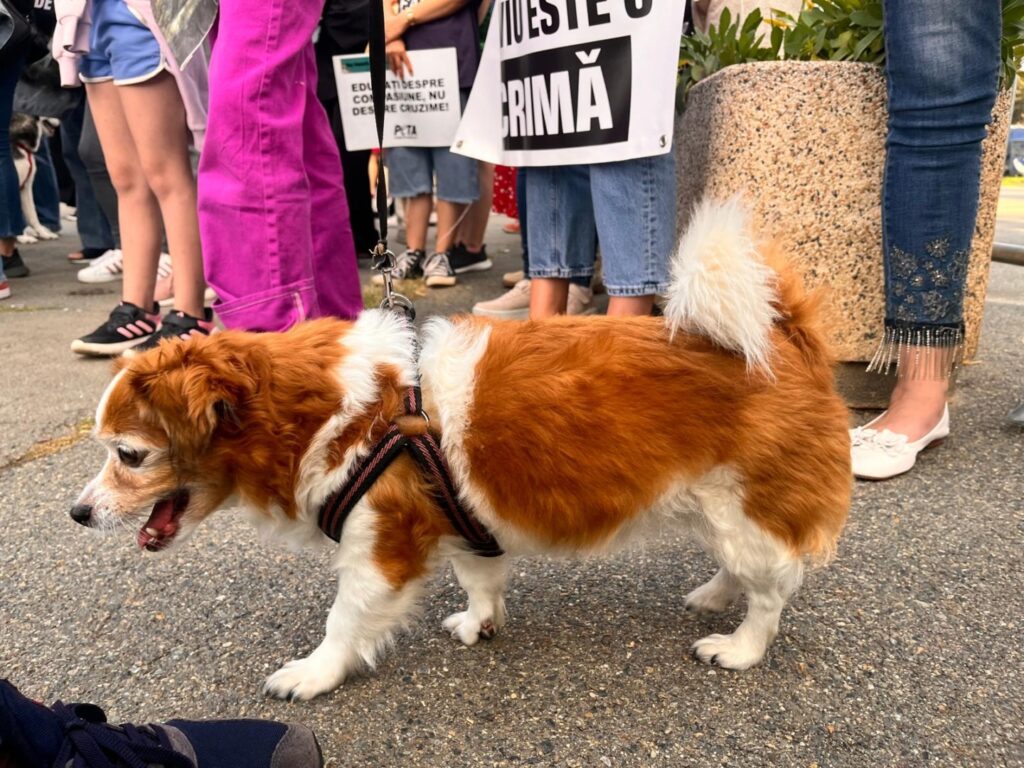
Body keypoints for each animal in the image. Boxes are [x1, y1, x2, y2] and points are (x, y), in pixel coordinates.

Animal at [72, 199, 851, 704]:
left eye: (129, 455)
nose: (76, 514)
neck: (329, 413)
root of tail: (785, 335)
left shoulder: (379, 553)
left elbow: (342, 621)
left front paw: (314, 673)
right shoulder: (463, 519)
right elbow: (480, 578)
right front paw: (480, 623)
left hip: (745, 509)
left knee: (773, 591)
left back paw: (740, 644)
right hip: (719, 505)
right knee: (744, 567)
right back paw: (714, 593)